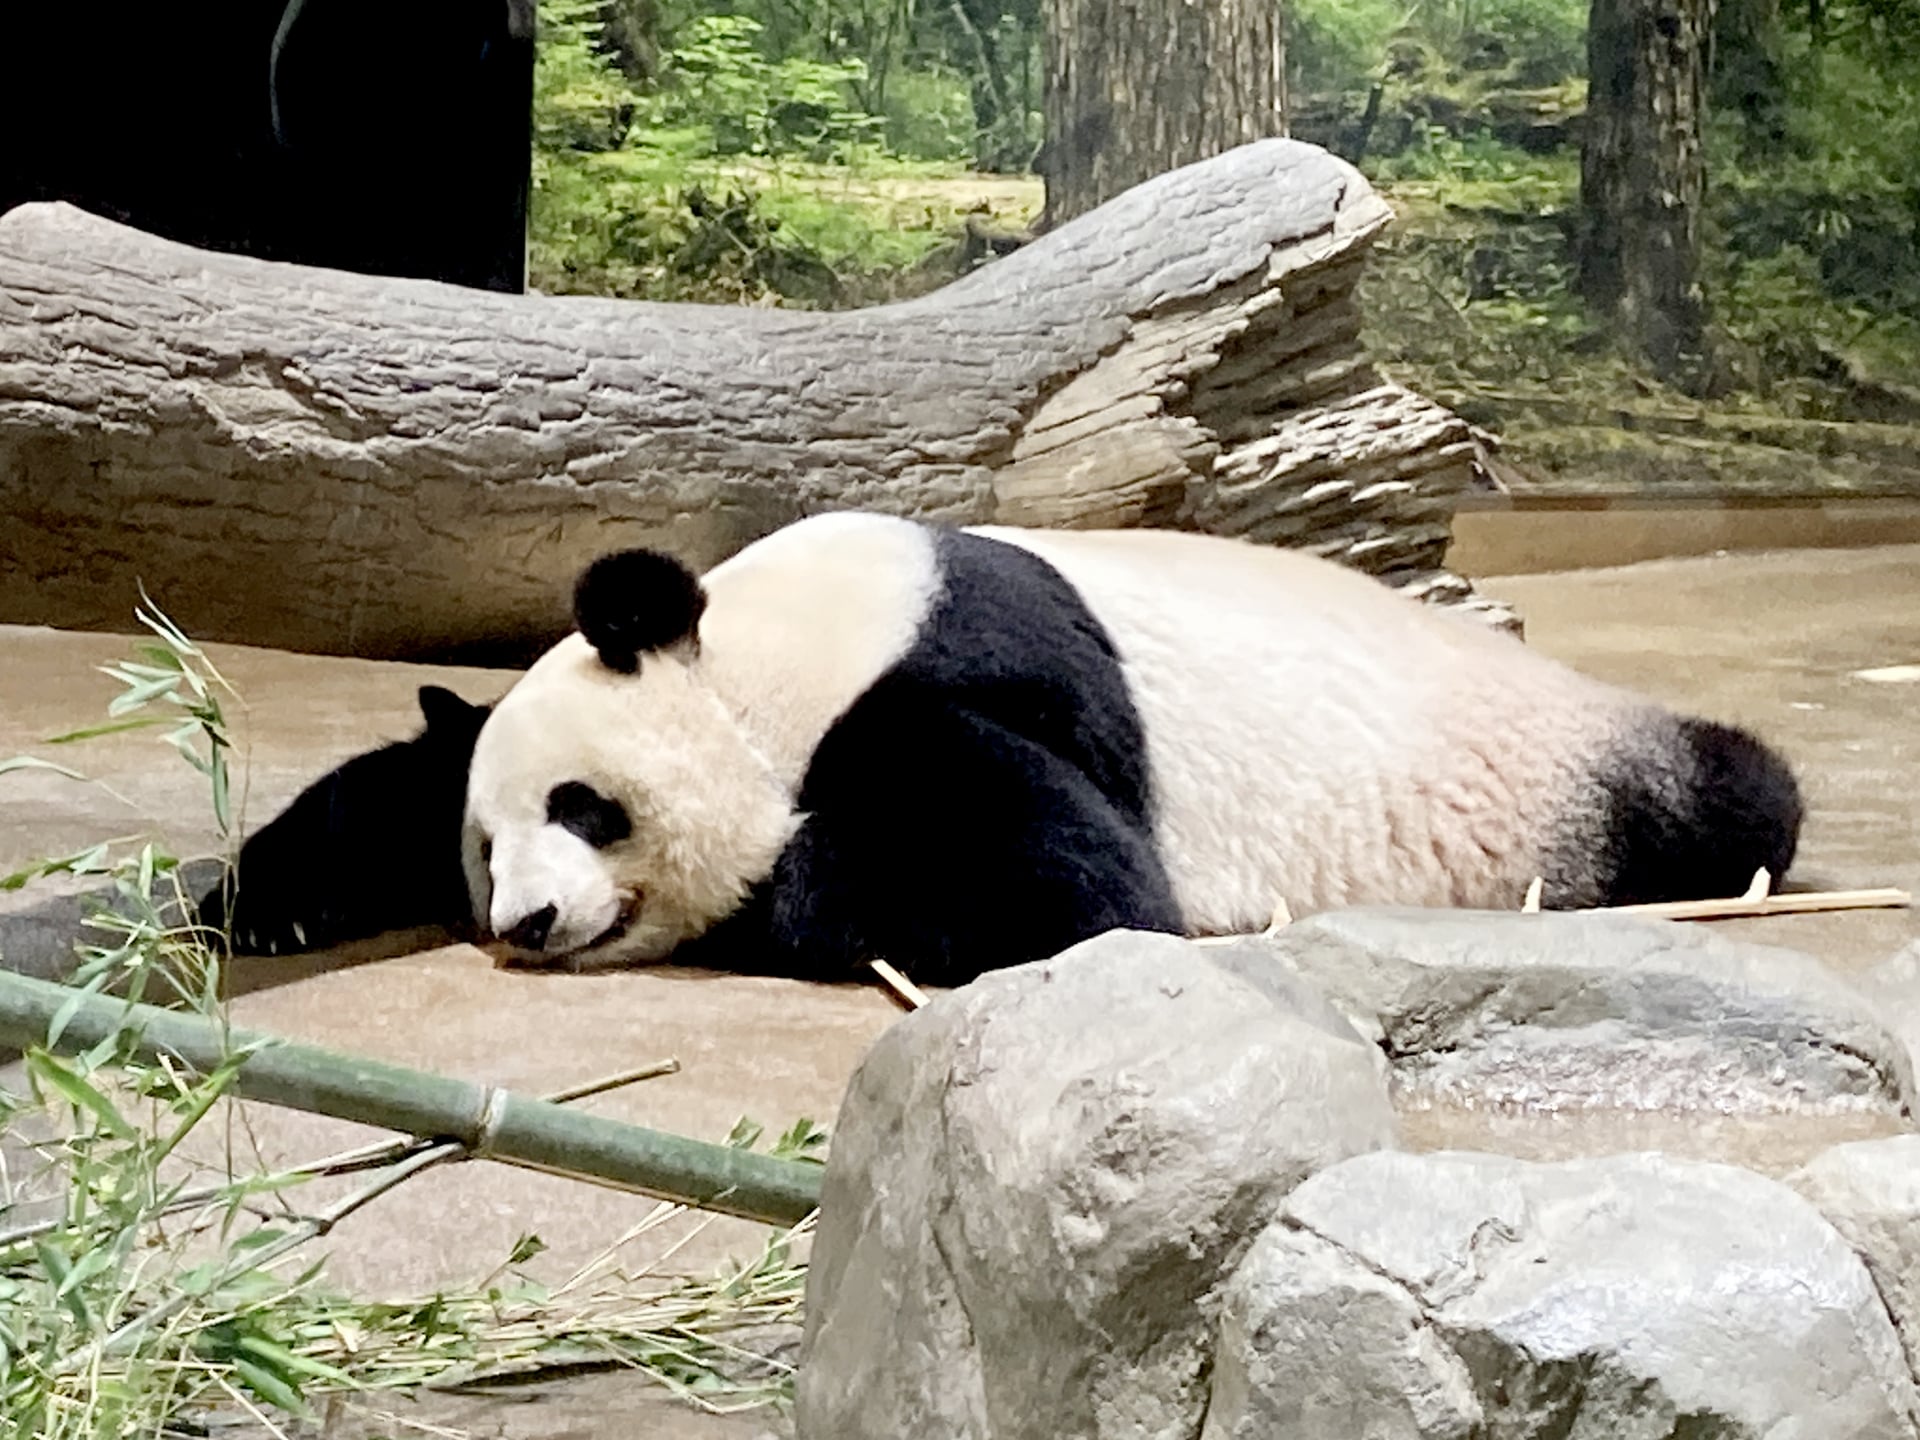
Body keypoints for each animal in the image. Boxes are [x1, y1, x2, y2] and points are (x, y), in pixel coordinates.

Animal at [460, 510, 1797, 990]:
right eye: (484, 847)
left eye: (582, 806)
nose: (527, 922)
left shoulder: (933, 685)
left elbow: (1067, 896)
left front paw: (792, 894)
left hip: (1563, 777)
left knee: (1729, 797)